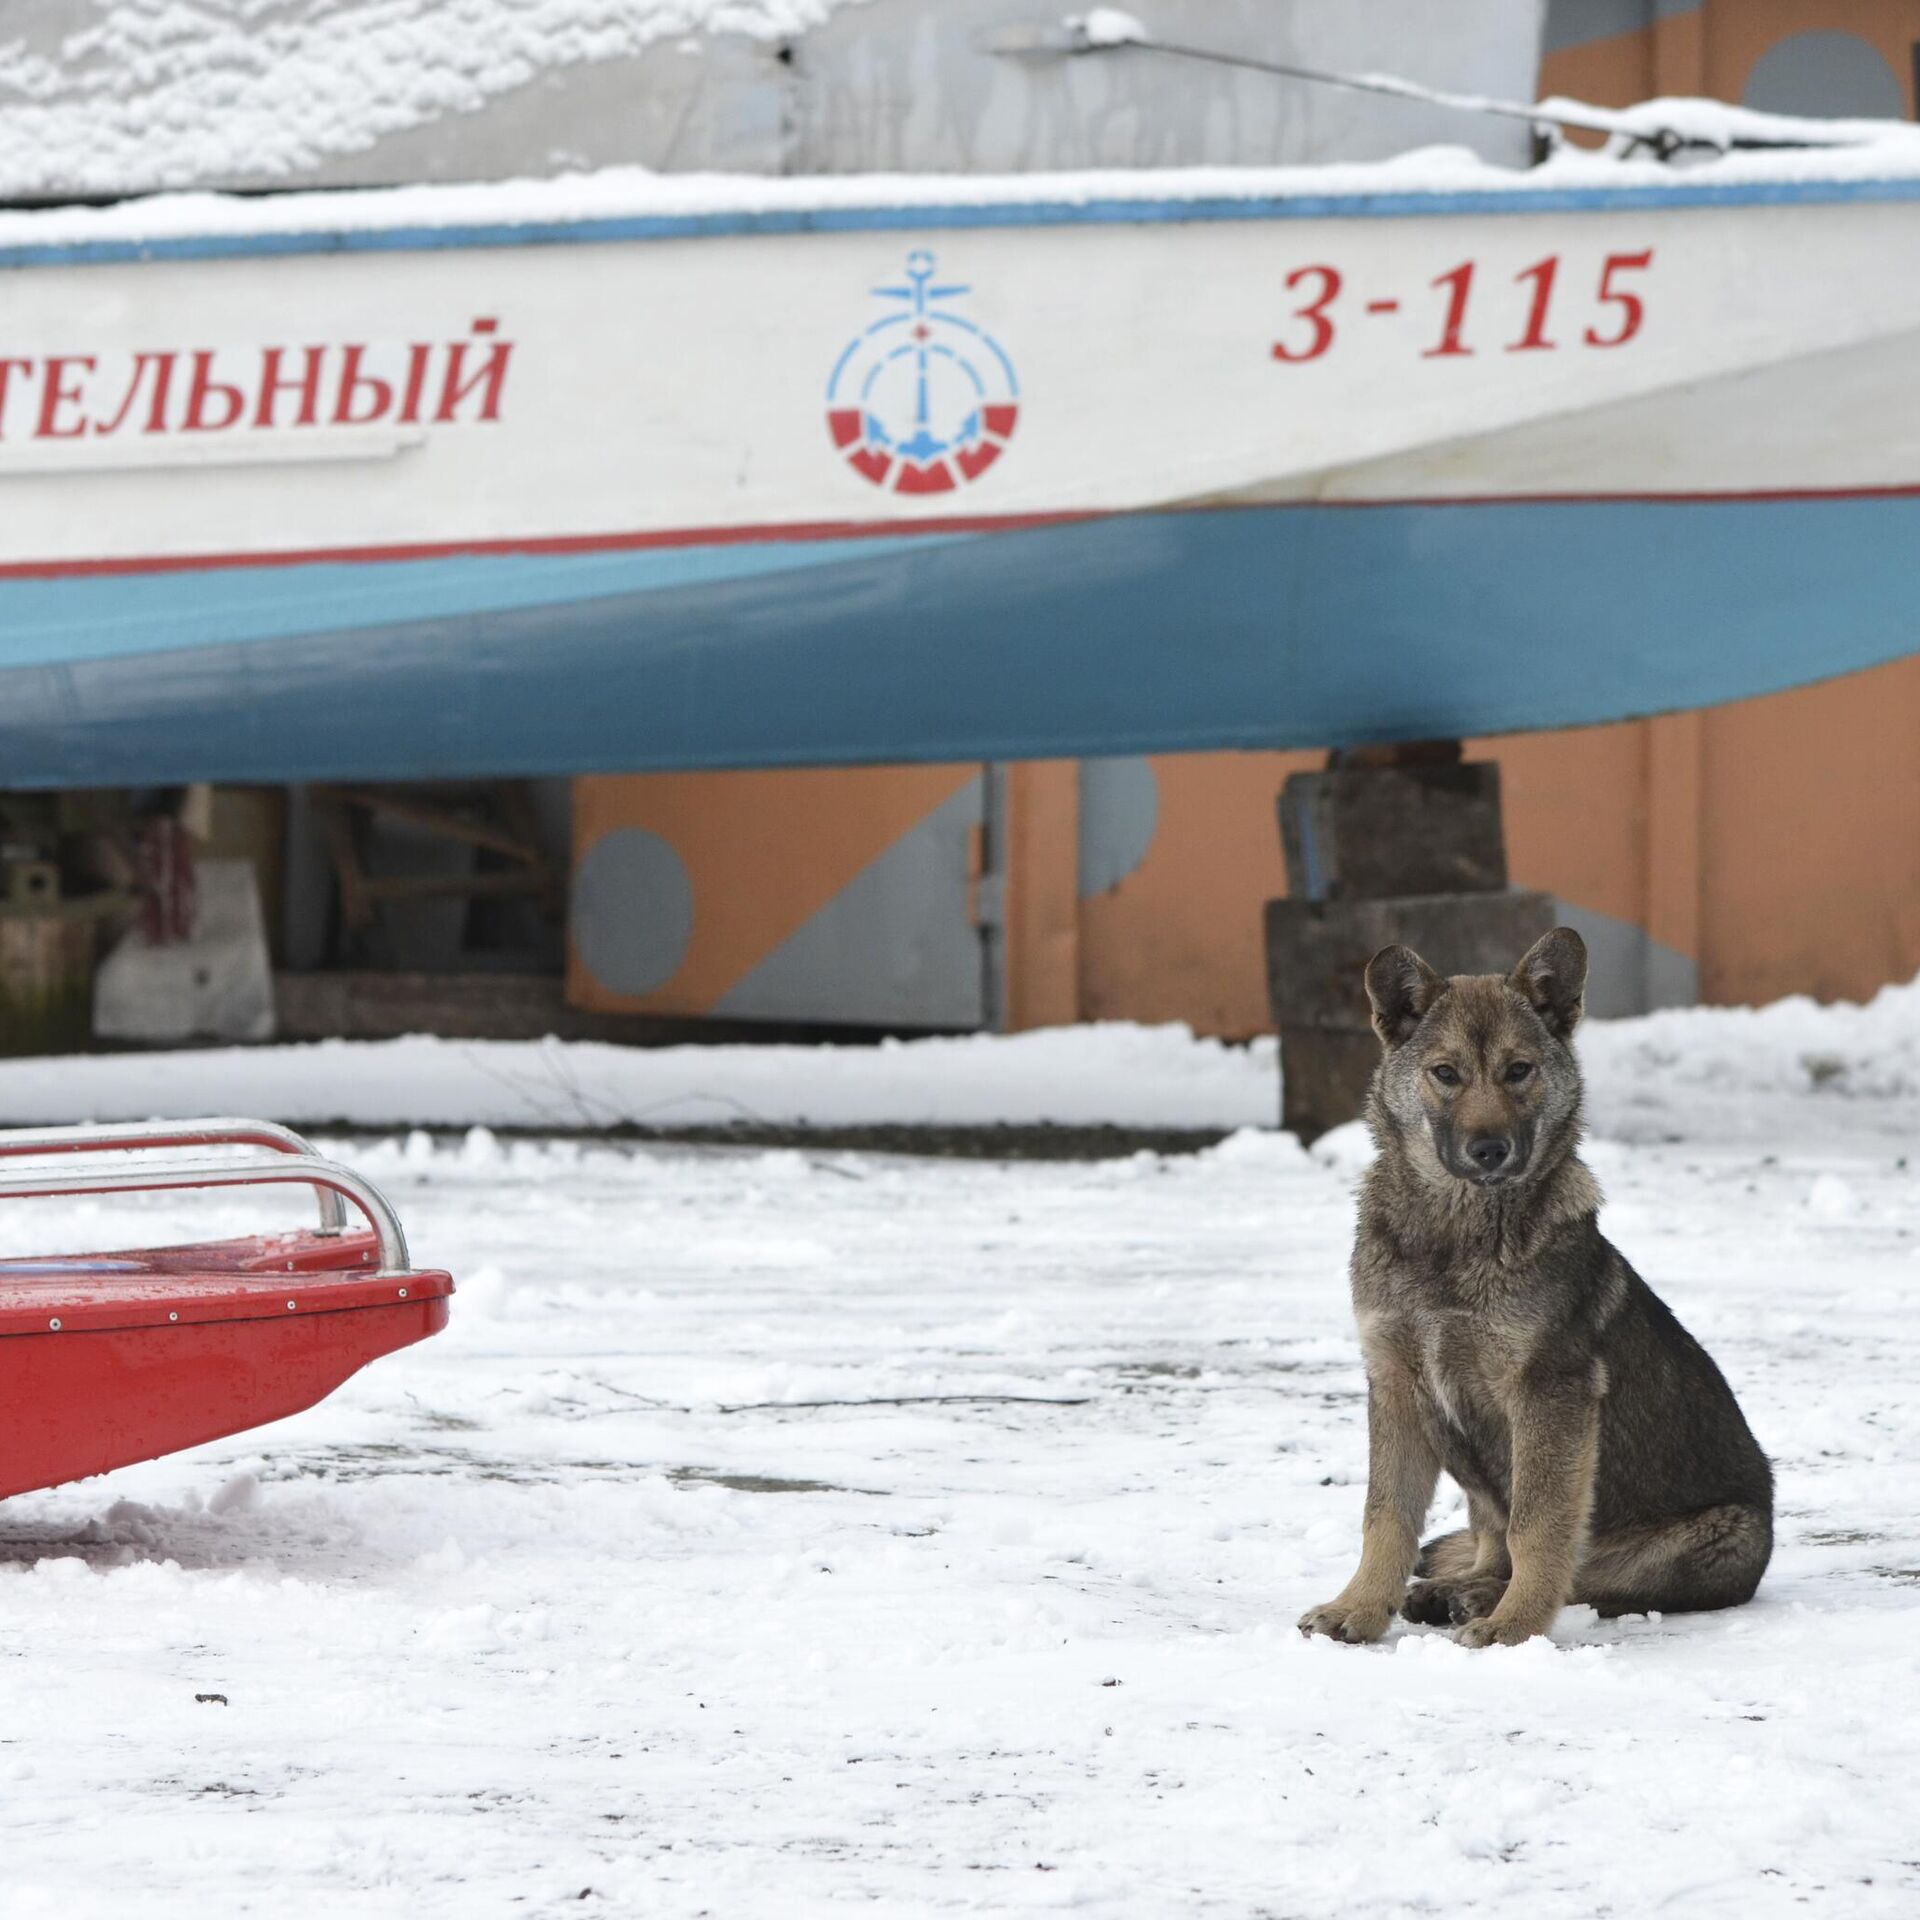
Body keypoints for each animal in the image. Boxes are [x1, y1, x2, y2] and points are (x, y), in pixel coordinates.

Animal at [1297, 929, 1774, 1651]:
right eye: (1446, 1074)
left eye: (1519, 1071)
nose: (1490, 1150)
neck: (1456, 1238)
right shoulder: (1397, 1383)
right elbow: (1386, 1517)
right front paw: (1359, 1608)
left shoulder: (1550, 1394)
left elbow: (1540, 1526)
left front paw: (1515, 1627)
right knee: (1491, 1539)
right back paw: (1455, 1589)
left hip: (1715, 1537)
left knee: (1588, 1574)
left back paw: (1482, 1599)